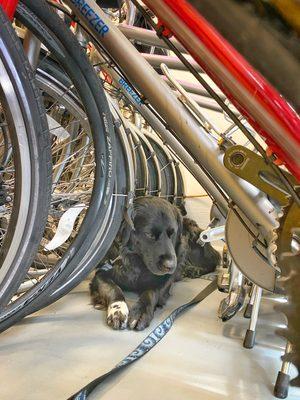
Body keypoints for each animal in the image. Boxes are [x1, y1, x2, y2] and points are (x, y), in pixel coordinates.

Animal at [90, 197, 219, 332]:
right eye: (149, 234)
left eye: (172, 233)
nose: (170, 266)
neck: (137, 262)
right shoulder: (101, 273)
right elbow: (113, 288)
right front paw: (118, 309)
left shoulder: (165, 280)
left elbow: (151, 292)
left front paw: (140, 312)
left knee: (215, 259)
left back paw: (193, 270)